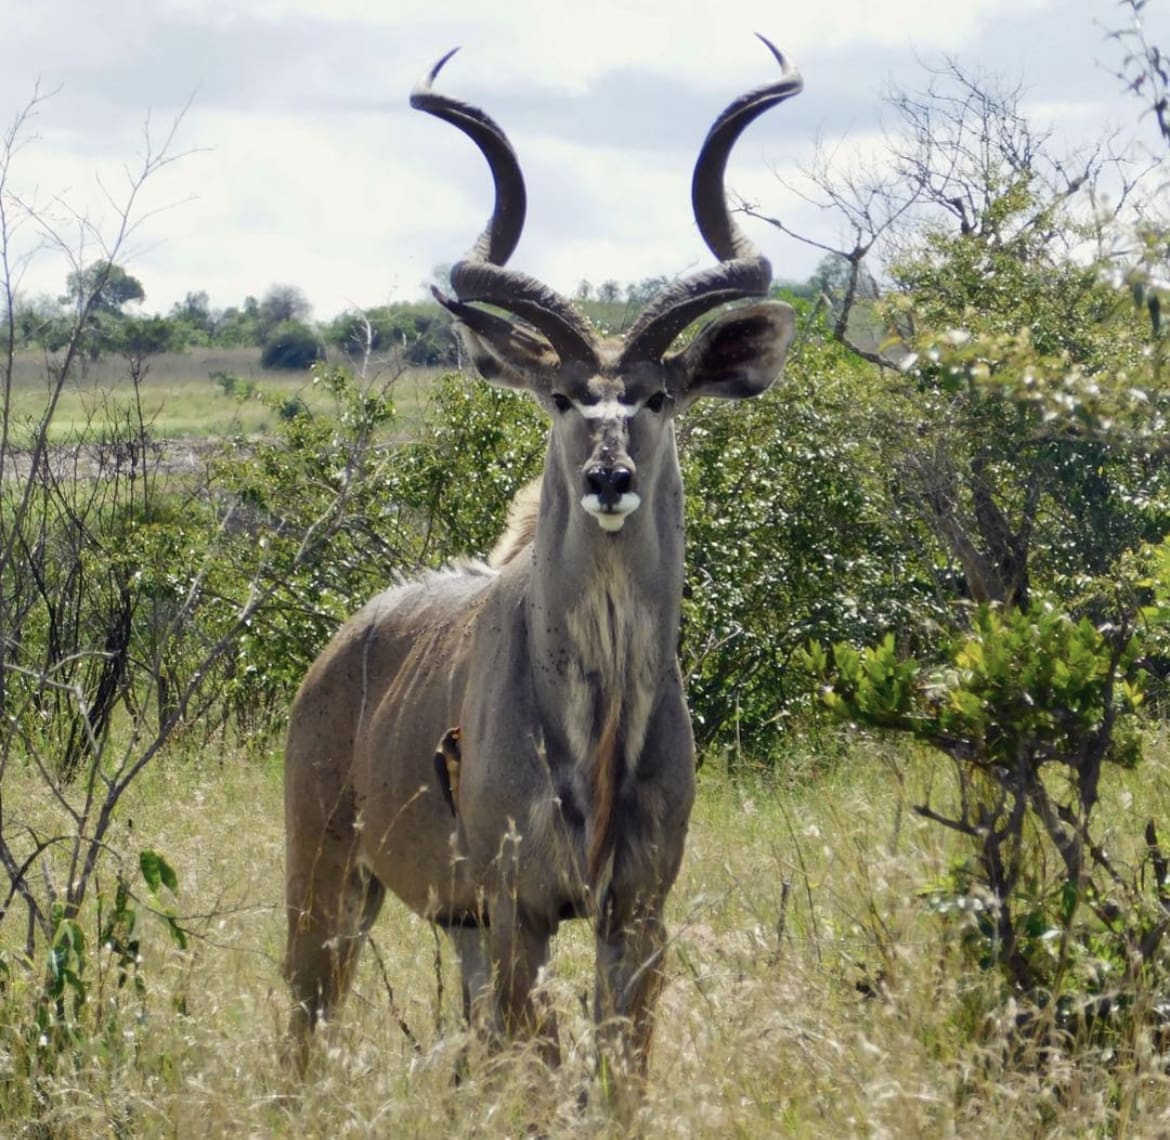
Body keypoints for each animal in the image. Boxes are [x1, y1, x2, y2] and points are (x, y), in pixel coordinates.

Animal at [283, 38, 804, 1081]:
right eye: (564, 397)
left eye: (657, 396)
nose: (608, 478)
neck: (594, 722)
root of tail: (334, 655)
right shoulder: (522, 906)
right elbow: (541, 1075)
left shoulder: (634, 911)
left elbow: (613, 1077)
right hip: (328, 882)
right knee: (304, 1030)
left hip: (457, 923)